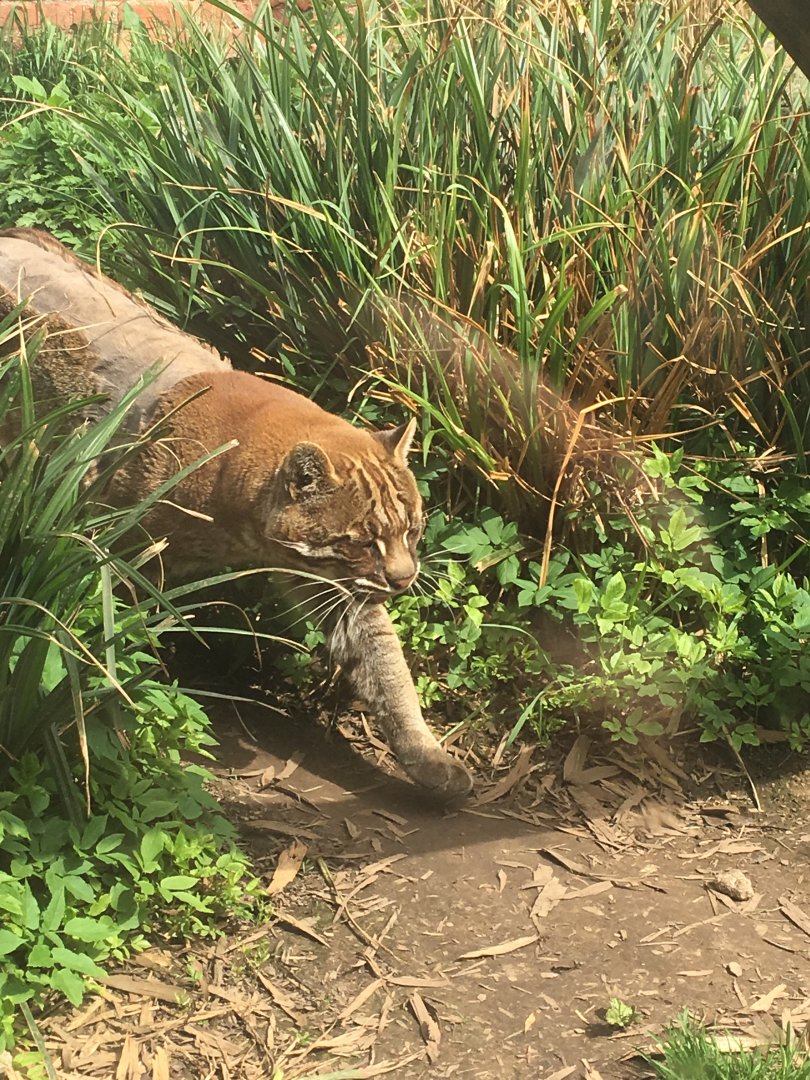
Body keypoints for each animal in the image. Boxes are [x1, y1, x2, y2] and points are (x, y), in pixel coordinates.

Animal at [0, 227, 473, 802]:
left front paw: (426, 755)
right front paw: (126, 728)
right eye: (362, 542)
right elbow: (120, 643)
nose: (405, 580)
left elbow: (387, 670)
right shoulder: (127, 556)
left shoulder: (336, 589)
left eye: (414, 531)